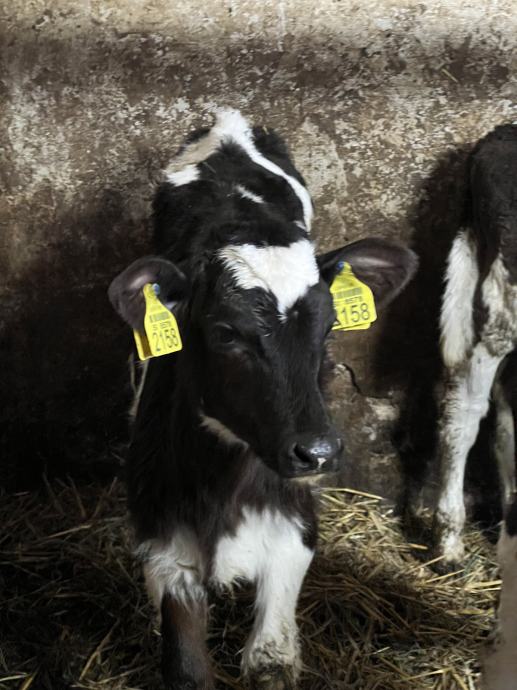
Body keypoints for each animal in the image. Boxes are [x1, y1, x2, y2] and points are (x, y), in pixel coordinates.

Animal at [108, 109, 417, 689]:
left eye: (329, 329)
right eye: (226, 333)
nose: (318, 453)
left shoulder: (293, 531)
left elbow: (271, 658)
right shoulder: (164, 546)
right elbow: (187, 669)